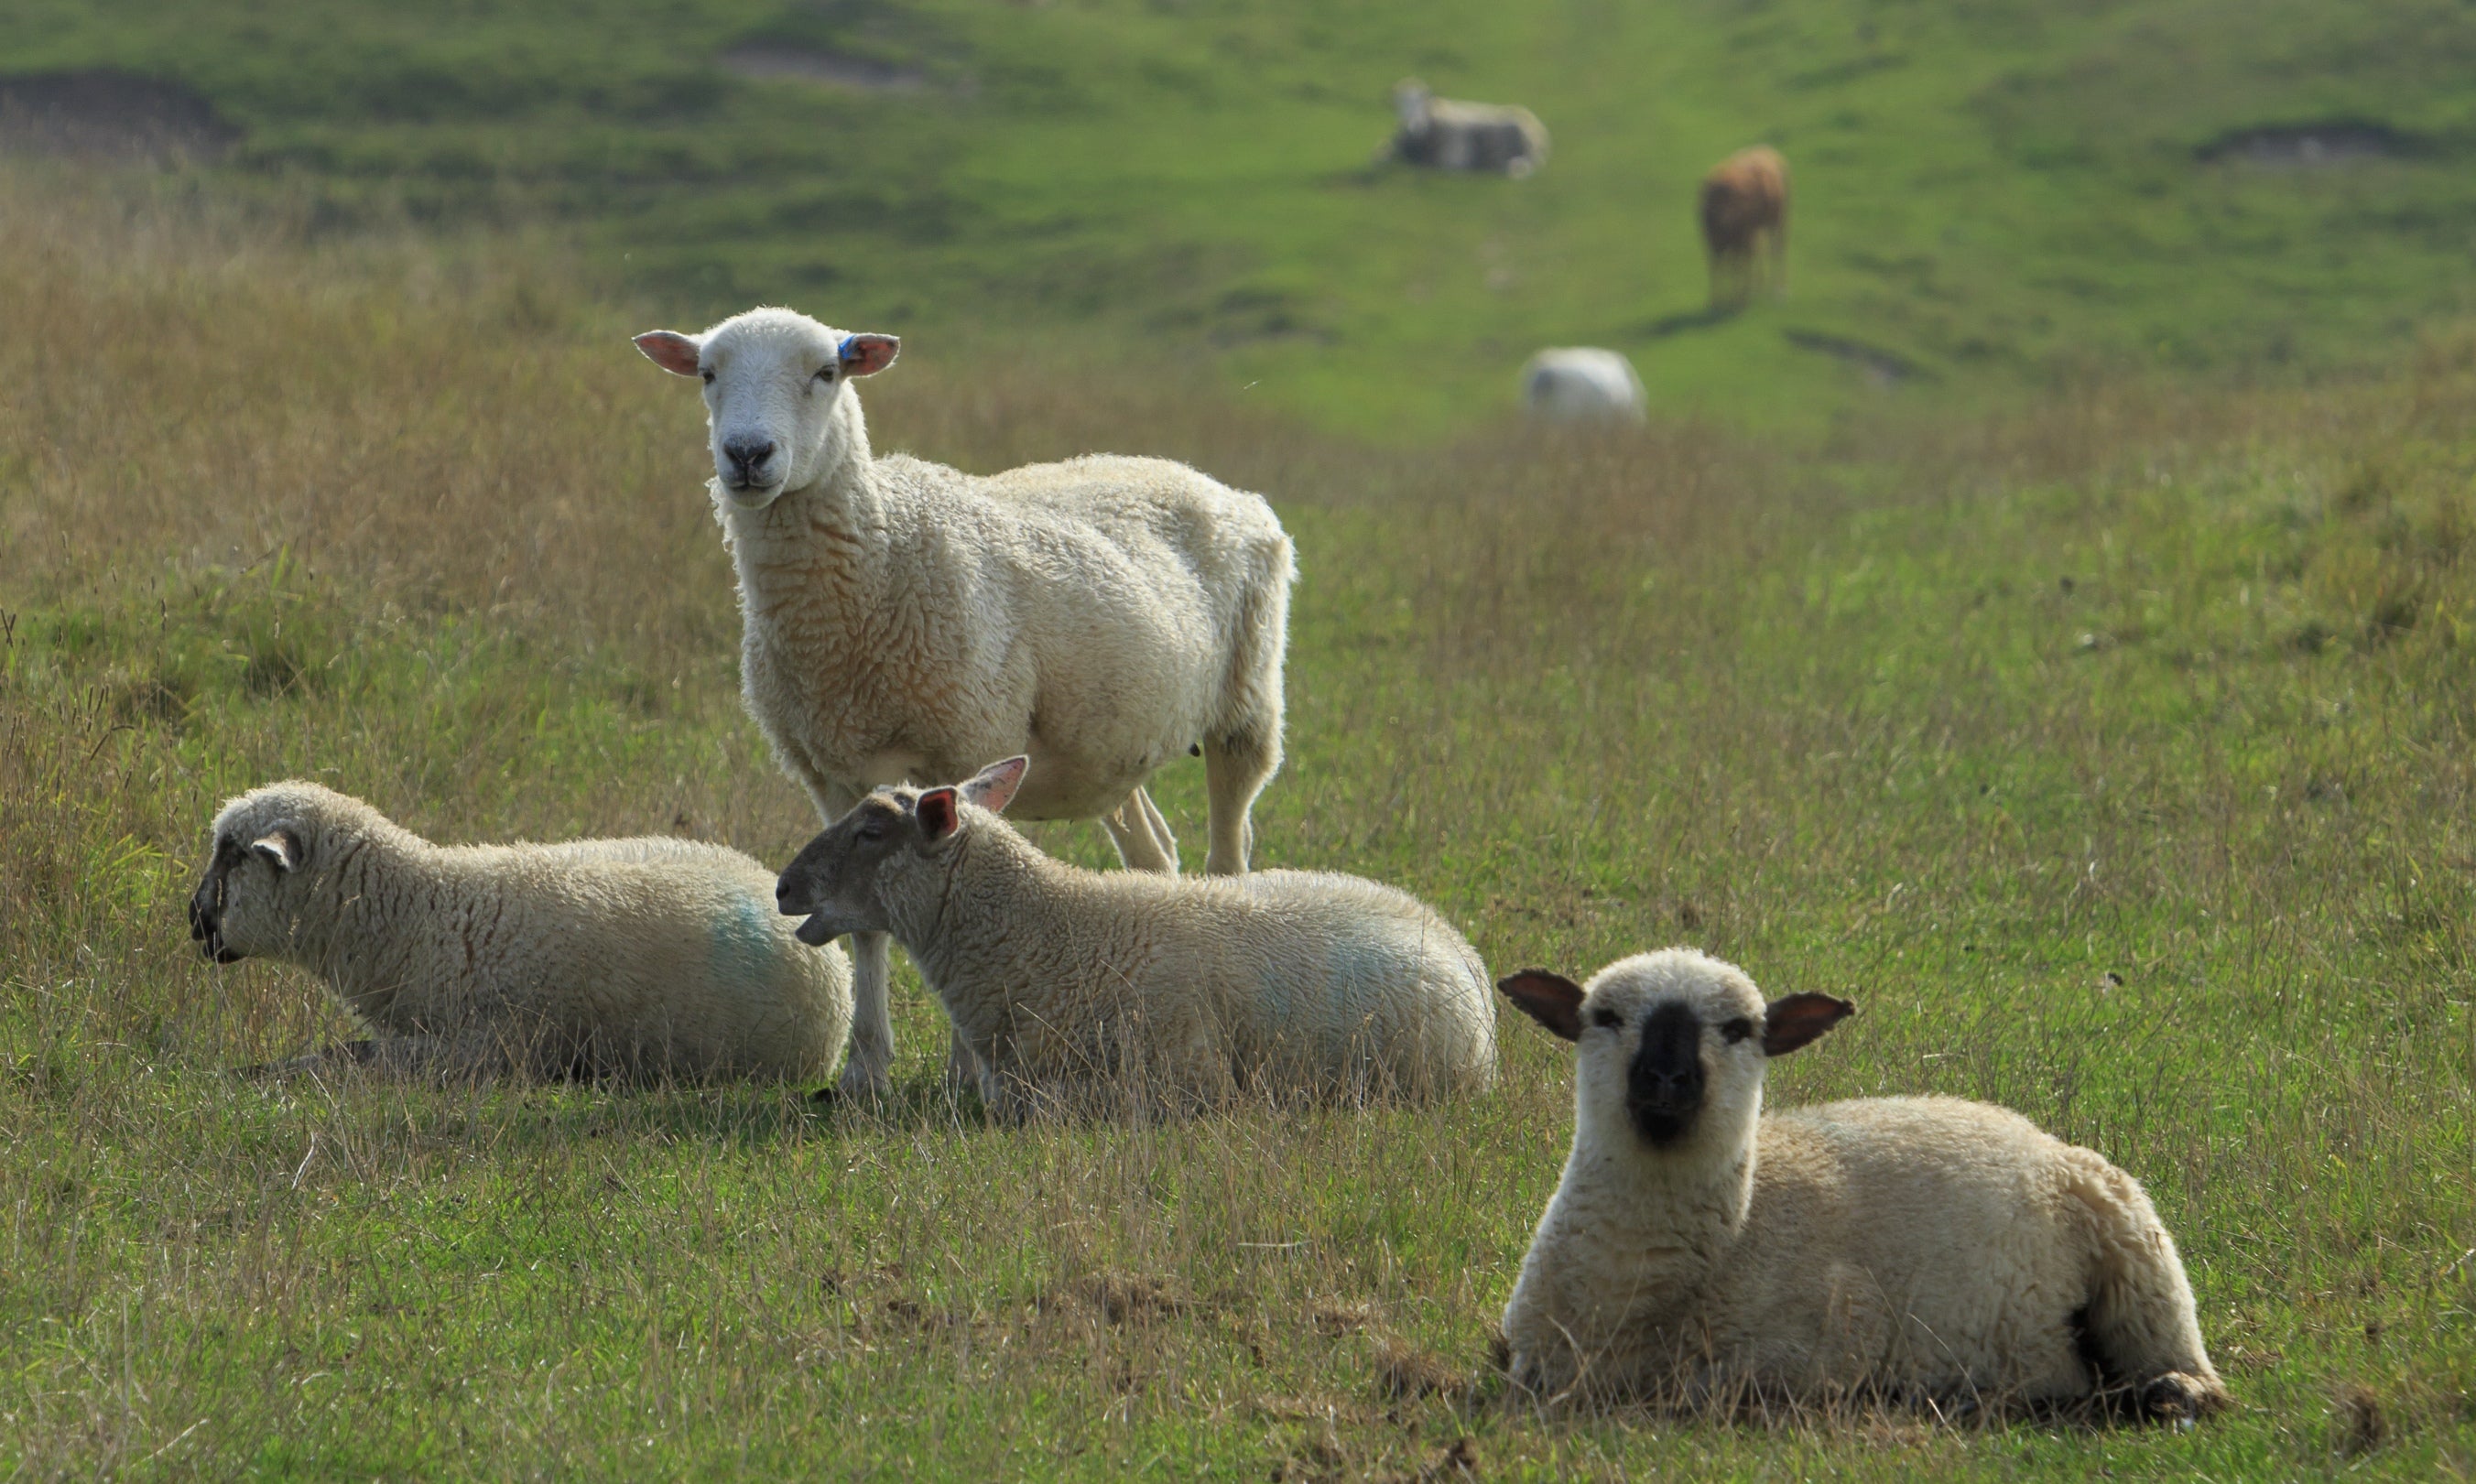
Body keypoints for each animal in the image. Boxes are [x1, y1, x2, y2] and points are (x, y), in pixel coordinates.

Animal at [186, 781, 853, 1083]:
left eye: (232, 854)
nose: (192, 918)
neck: (422, 917)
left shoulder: (488, 1048)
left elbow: (350, 1056)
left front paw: (249, 1075)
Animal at [632, 307, 1295, 1098]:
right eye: (707, 373)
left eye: (827, 371)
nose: (747, 454)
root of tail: (1215, 484)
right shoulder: (829, 772)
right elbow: (861, 918)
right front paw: (864, 1071)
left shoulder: (967, 739)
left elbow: (951, 875)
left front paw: (962, 1074)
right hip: (1108, 748)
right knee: (1152, 851)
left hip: (1247, 703)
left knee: (1229, 846)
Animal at [771, 757, 1497, 1118]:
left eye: (870, 832)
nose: (782, 887)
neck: (1051, 934)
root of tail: (1456, 940)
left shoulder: (1188, 1079)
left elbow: (1041, 1105)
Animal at [1495, 948, 2228, 1422]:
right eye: (1605, 1016)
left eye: (1740, 1029)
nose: (1667, 1079)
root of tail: (2036, 1135)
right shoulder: (1526, 1353)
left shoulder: (1829, 1339)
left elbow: (1709, 1391)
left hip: (2136, 1244)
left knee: (2177, 1365)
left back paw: (2163, 1392)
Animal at [1700, 146, 1789, 308]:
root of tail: (1769, 151)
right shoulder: (1718, 243)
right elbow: (1723, 266)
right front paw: (1720, 299)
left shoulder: (1740, 239)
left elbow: (1738, 265)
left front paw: (1740, 295)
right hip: (1767, 225)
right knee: (1764, 251)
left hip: (1779, 220)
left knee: (1777, 250)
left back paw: (1778, 290)